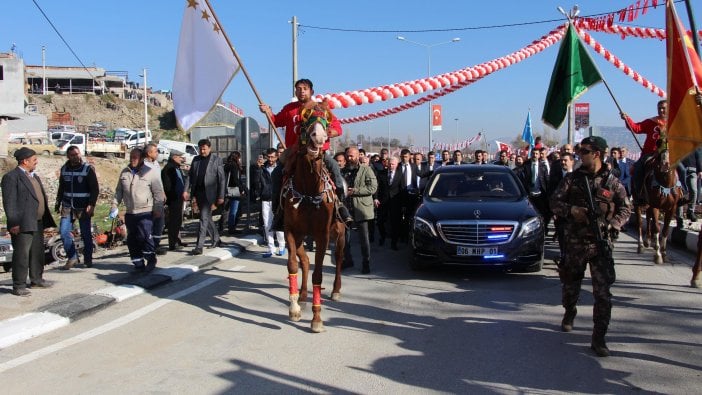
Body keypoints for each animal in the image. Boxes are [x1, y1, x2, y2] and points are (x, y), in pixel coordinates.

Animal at [280, 103, 346, 334]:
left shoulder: (322, 234)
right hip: (302, 236)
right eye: (304, 118)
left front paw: (317, 319)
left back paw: (335, 290)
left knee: (339, 260)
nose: (319, 137)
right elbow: (293, 265)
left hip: (340, 234)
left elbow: (319, 273)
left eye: (327, 118)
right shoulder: (290, 231)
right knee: (305, 261)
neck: (308, 188)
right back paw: (301, 295)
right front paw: (294, 308)